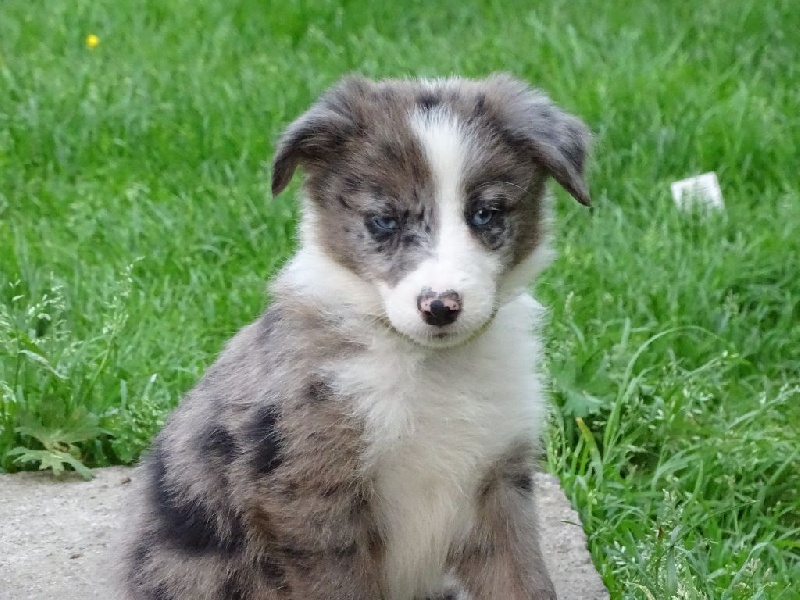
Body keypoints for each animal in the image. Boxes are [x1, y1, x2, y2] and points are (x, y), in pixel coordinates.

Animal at [118, 73, 591, 600]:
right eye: (383, 221)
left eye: (485, 214)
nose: (440, 307)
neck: (430, 366)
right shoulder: (312, 496)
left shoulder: (499, 481)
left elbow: (522, 580)